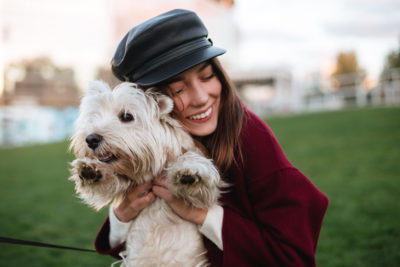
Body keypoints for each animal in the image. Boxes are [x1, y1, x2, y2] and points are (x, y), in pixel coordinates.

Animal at [69, 81, 225, 267]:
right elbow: (109, 182)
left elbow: (193, 167)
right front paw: (91, 170)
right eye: (94, 116)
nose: (91, 139)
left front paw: (189, 173)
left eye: (126, 116)